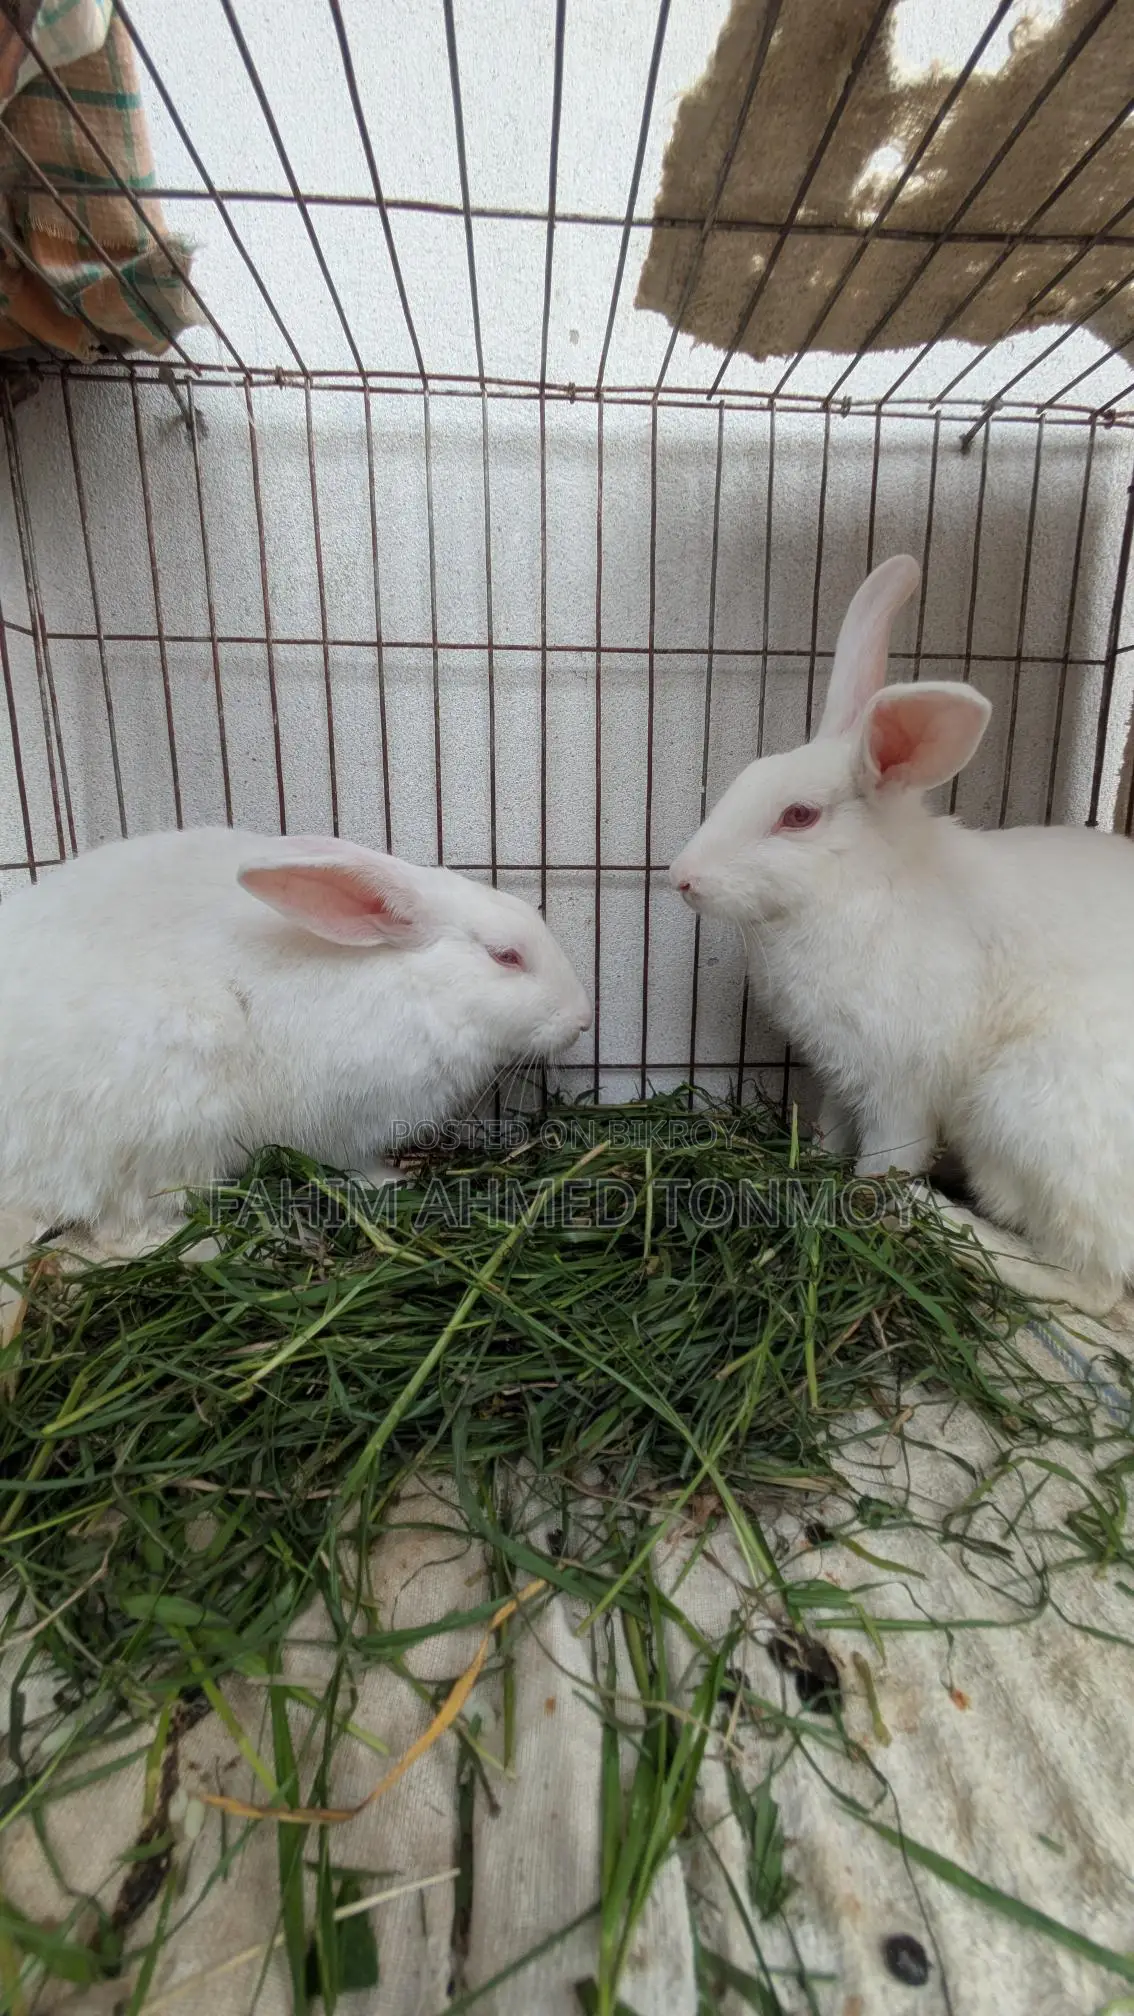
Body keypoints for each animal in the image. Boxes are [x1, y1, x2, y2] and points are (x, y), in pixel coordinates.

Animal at [0, 827, 592, 1253]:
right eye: (505, 956)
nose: (583, 1020)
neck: (417, 988)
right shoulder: (346, 1118)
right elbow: (354, 1163)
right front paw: (390, 1183)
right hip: (167, 1126)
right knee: (120, 1227)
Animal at [669, 552, 1134, 1320]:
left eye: (798, 816)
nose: (681, 877)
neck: (855, 891)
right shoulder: (837, 1073)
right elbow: (832, 1129)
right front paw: (815, 1161)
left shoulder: (900, 1083)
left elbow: (884, 1156)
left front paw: (865, 1200)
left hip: (1023, 1111)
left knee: (1090, 1282)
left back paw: (939, 1220)